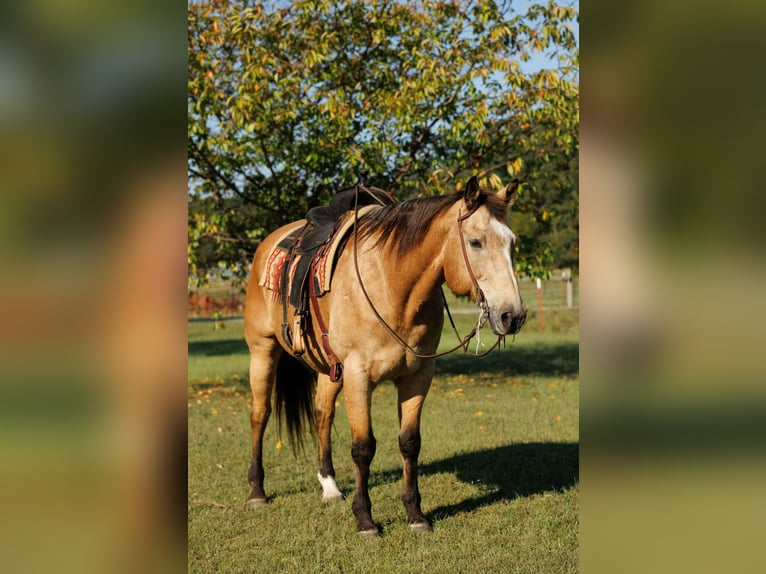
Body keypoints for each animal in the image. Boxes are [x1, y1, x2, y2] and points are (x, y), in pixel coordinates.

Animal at [243, 175, 527, 536]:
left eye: (512, 243)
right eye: (475, 242)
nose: (512, 315)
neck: (394, 287)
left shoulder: (418, 376)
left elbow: (409, 442)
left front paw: (416, 514)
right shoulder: (358, 376)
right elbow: (363, 447)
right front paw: (365, 520)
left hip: (329, 367)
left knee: (322, 414)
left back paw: (330, 487)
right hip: (263, 350)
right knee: (260, 414)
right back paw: (257, 491)